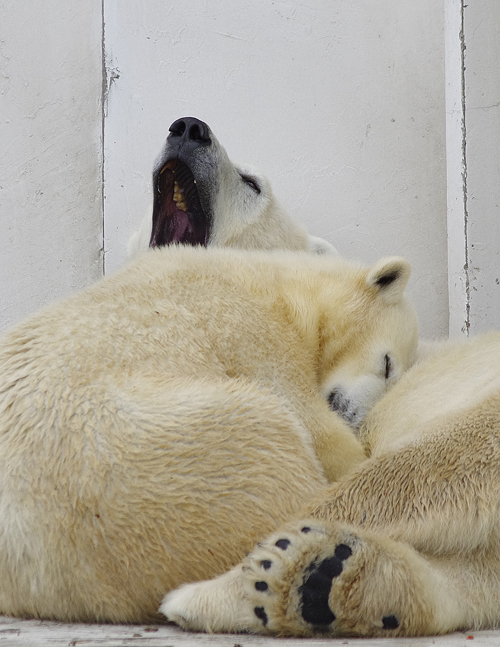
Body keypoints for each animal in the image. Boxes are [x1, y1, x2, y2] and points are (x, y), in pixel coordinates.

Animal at [0, 244, 418, 624]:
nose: (355, 417)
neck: (272, 281)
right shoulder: (245, 327)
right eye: (387, 364)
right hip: (182, 455)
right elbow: (308, 417)